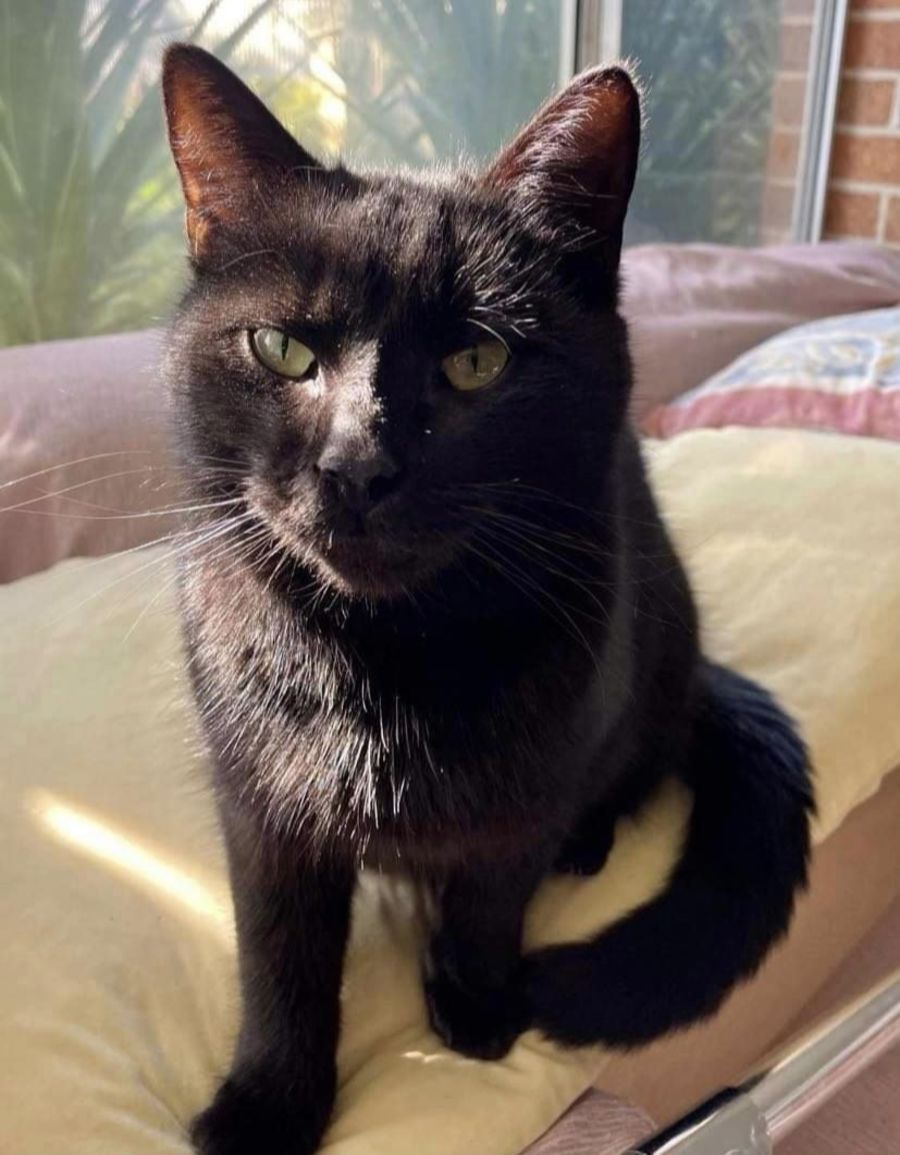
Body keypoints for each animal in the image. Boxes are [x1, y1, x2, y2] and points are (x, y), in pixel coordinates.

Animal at [161, 44, 814, 1155]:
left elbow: (488, 896)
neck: (381, 661)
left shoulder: (531, 784)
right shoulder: (262, 803)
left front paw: (475, 1008)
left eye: (477, 360)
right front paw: (268, 1105)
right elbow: (282, 960)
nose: (356, 466)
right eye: (282, 351)